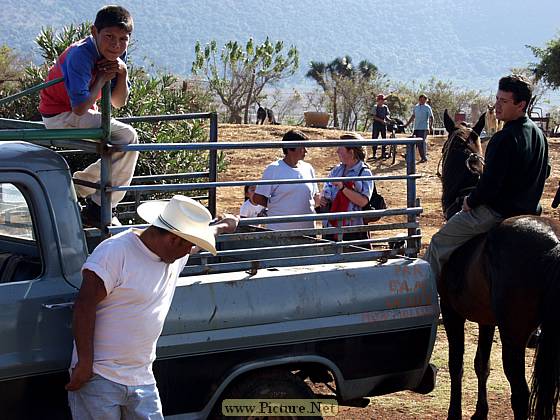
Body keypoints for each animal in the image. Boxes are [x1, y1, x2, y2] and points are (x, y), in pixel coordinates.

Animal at [438, 110, 560, 418]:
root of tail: (554, 243)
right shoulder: (486, 319)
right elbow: (481, 363)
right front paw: (480, 412)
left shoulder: (452, 313)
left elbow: (456, 363)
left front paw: (454, 412)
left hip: (513, 336)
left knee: (521, 395)